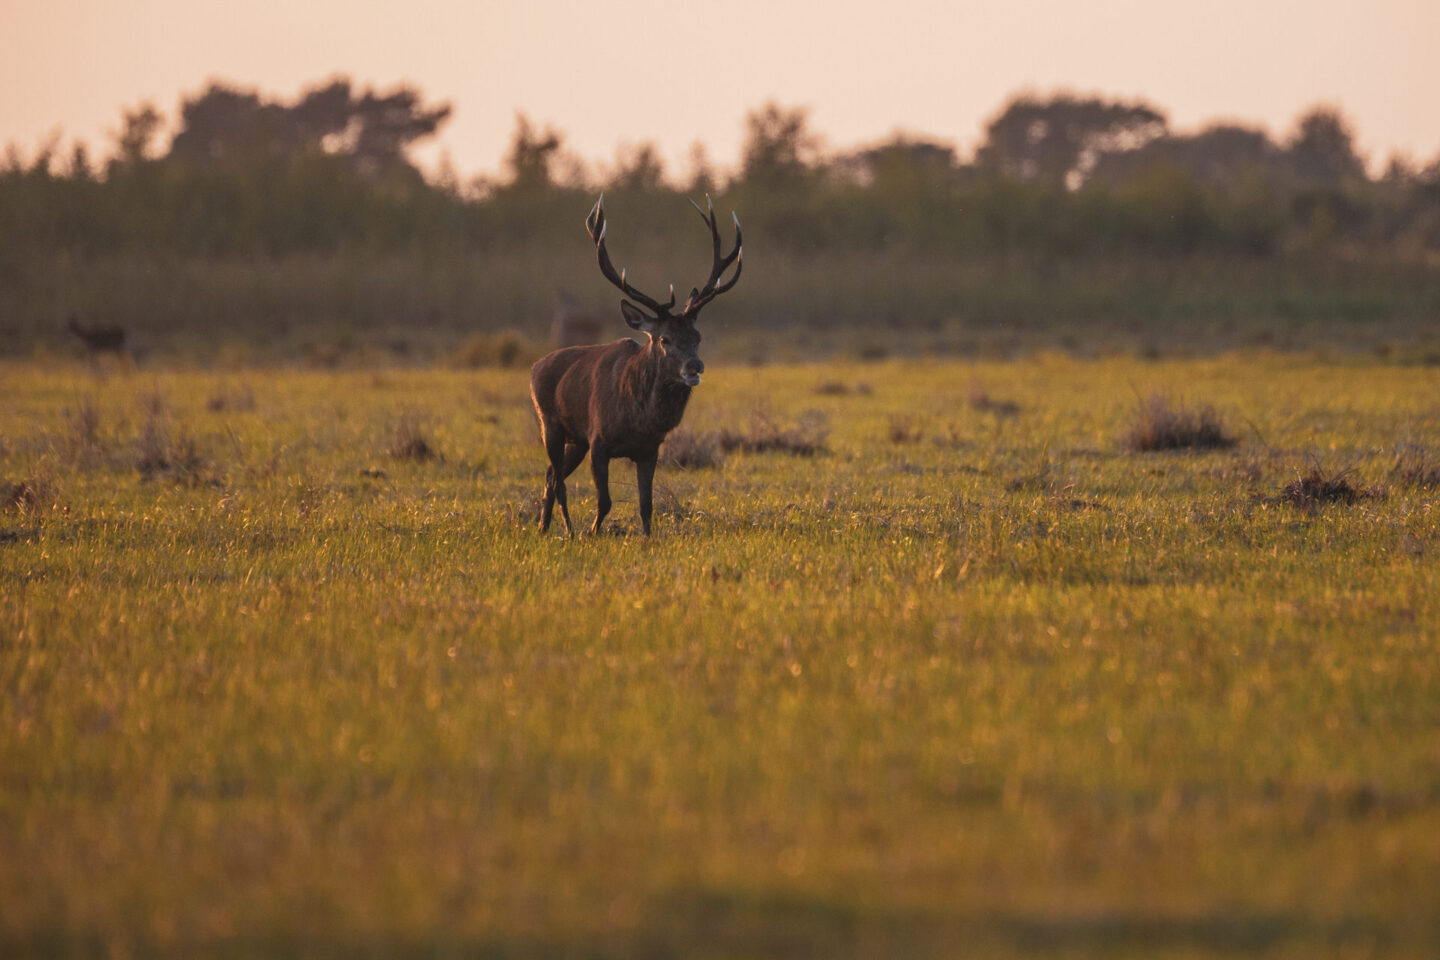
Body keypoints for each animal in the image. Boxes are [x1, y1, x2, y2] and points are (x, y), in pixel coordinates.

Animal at [530, 194, 742, 537]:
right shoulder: (599, 440)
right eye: (665, 338)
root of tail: (535, 367)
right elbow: (604, 501)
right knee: (558, 482)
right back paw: (568, 530)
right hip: (550, 424)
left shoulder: (649, 450)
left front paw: (647, 539)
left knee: (550, 475)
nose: (695, 366)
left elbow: (646, 504)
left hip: (576, 440)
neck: (638, 419)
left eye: (698, 336)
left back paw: (543, 529)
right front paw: (592, 533)